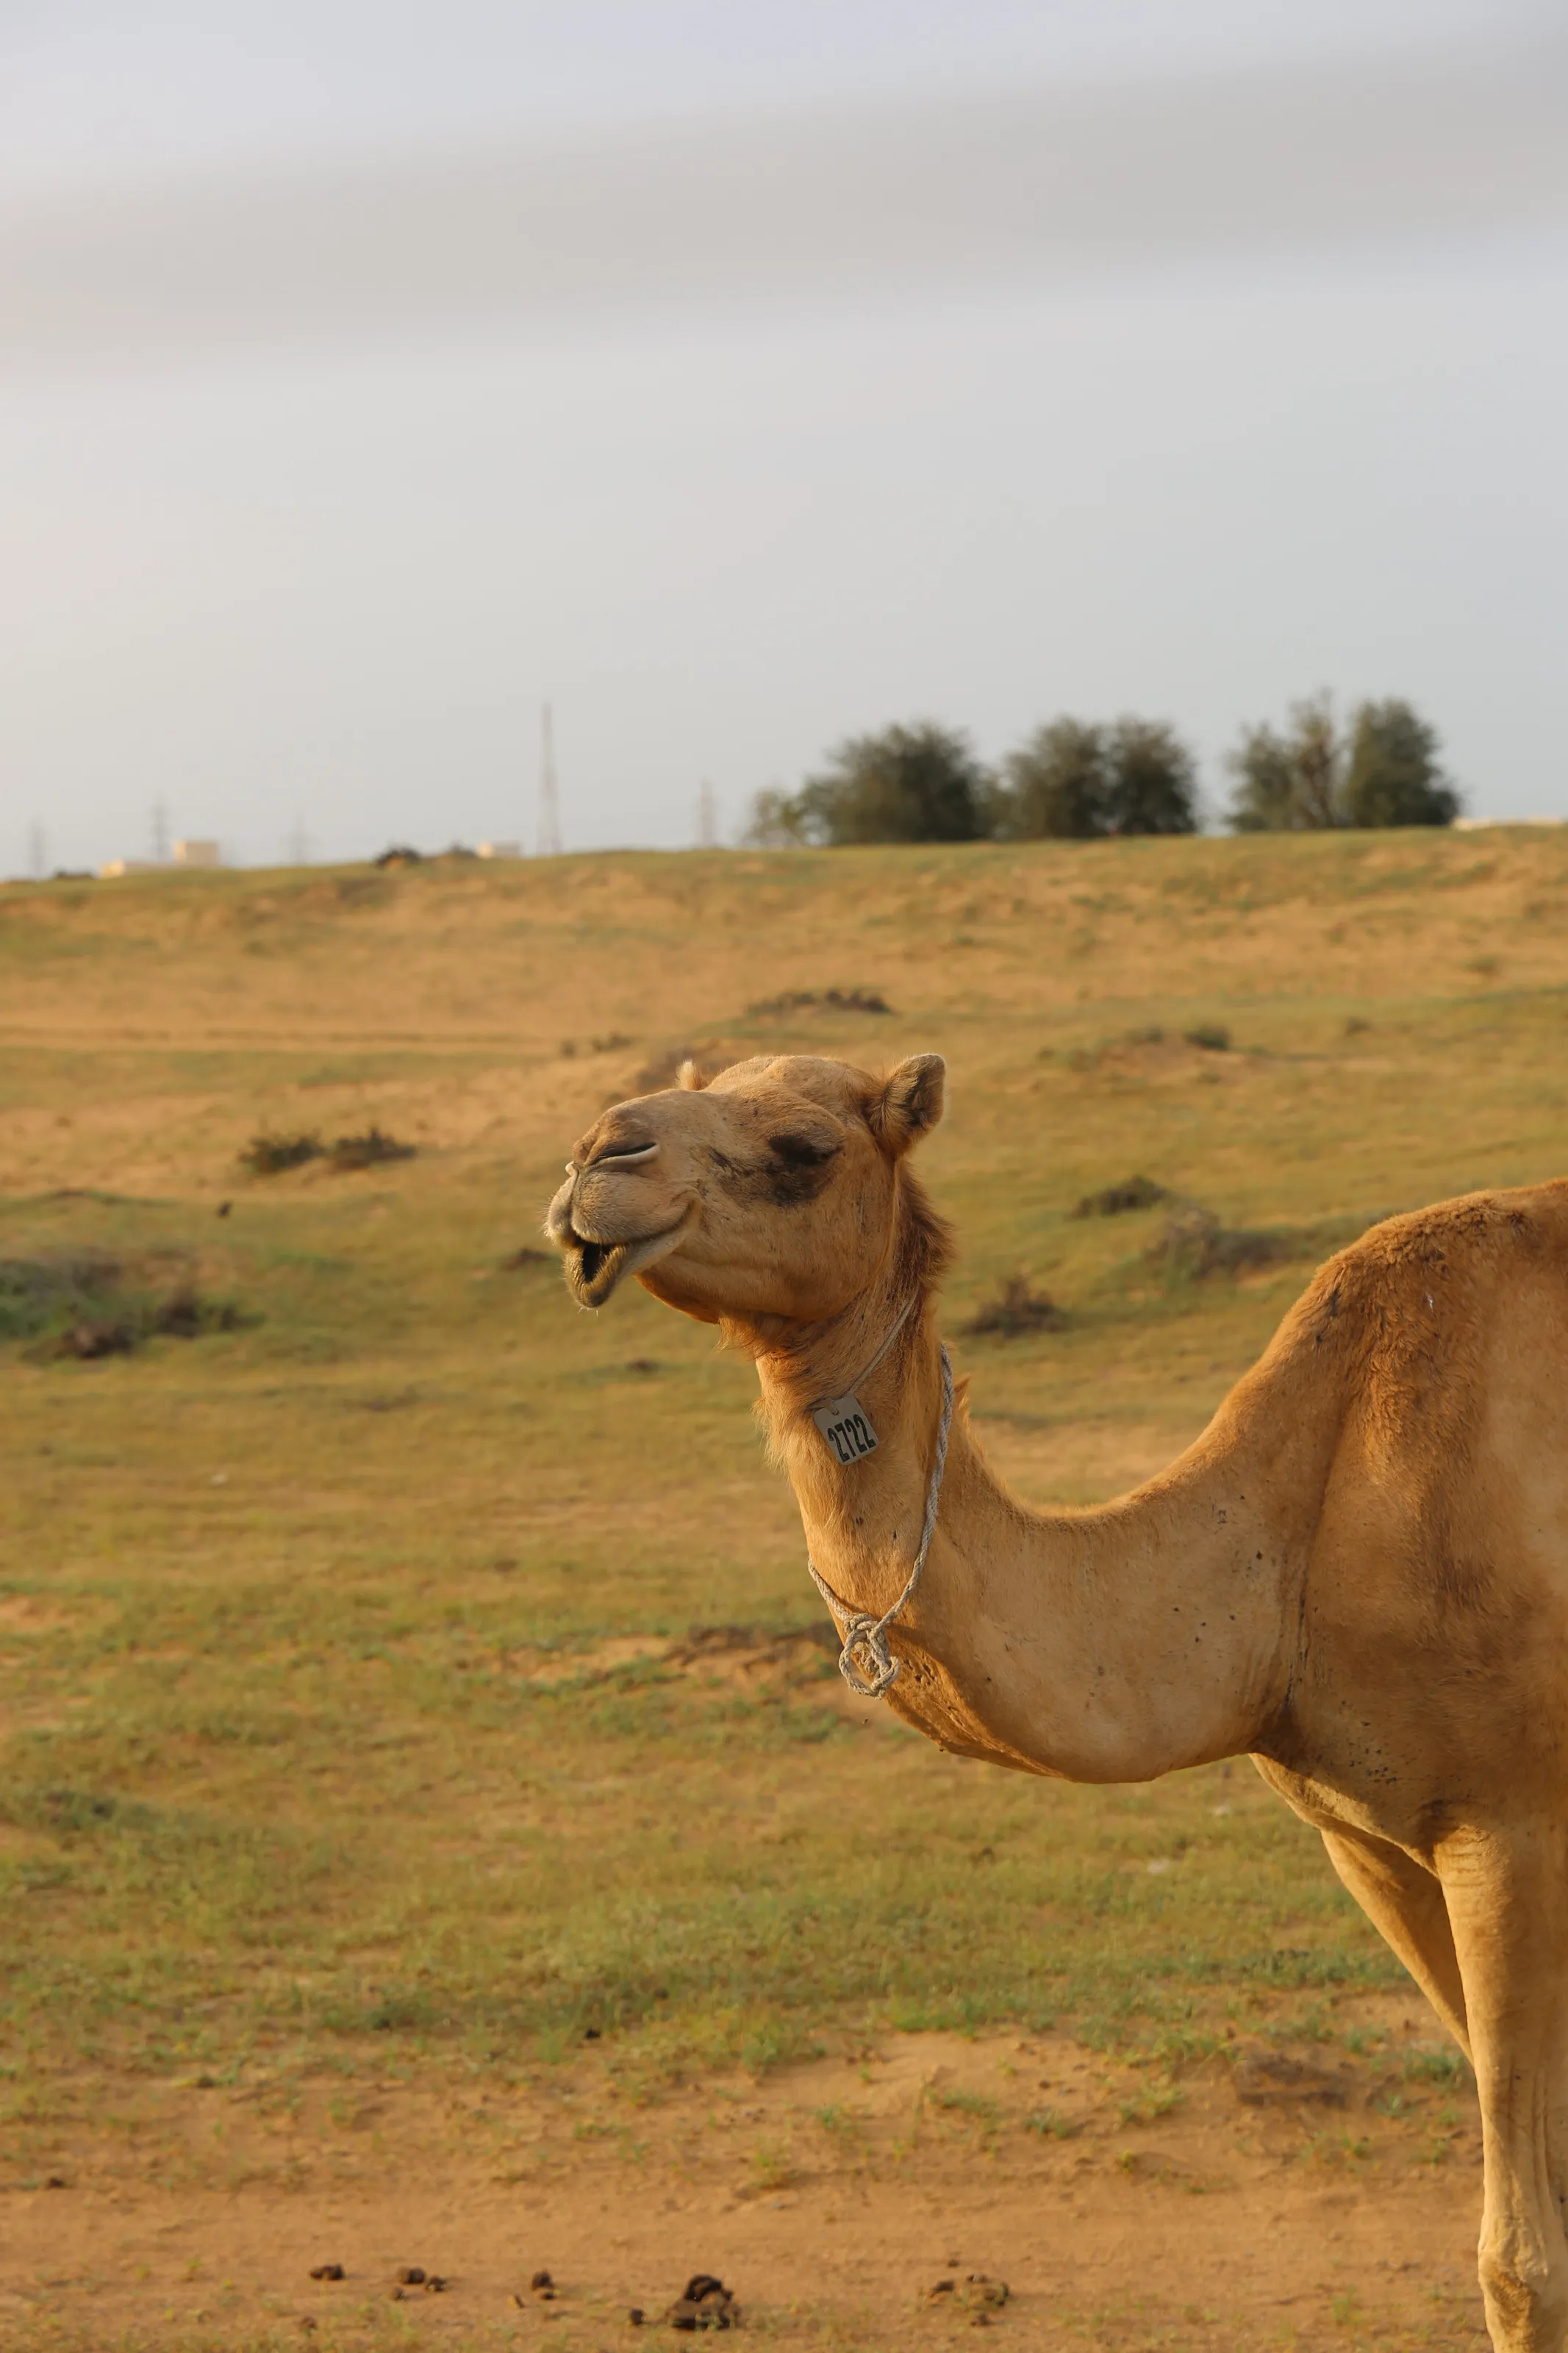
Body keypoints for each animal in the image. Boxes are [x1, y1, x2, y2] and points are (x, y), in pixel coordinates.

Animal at [546, 1049, 1568, 2353]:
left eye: (804, 1148)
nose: (596, 1160)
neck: (1288, 1551)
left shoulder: (1512, 1822)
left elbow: (1521, 2259)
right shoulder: (1365, 1837)